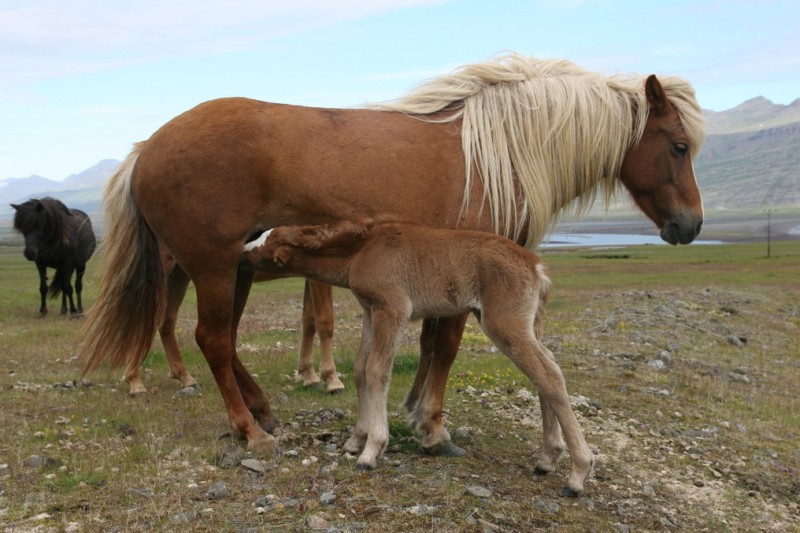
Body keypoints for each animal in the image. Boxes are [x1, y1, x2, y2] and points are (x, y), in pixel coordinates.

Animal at [83, 54, 708, 458]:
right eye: (679, 146)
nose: (692, 224)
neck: (498, 150)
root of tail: (146, 149)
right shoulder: (464, 274)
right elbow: (446, 347)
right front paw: (431, 426)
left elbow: (429, 346)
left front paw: (408, 411)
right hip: (213, 268)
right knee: (212, 340)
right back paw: (249, 430)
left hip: (234, 269)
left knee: (223, 340)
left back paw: (261, 410)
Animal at [244, 220, 592, 494]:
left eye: (261, 247)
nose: (240, 251)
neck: (362, 250)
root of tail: (536, 267)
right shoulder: (371, 310)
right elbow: (360, 369)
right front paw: (356, 438)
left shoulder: (393, 309)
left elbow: (377, 370)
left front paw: (371, 450)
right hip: (528, 324)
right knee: (547, 371)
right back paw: (547, 459)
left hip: (504, 323)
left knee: (547, 375)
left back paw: (577, 474)